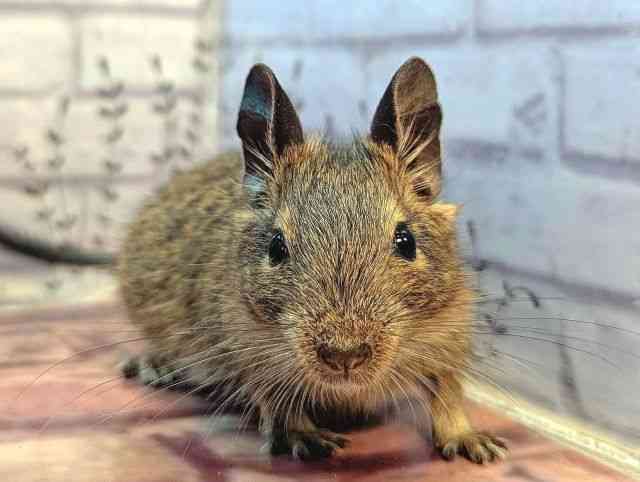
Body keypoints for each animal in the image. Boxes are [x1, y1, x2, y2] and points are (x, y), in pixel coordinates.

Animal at [0, 57, 506, 463]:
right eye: (276, 247)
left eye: (405, 241)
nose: (344, 357)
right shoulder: (251, 346)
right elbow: (278, 398)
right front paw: (303, 436)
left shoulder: (449, 332)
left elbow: (448, 394)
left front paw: (470, 440)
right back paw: (155, 365)